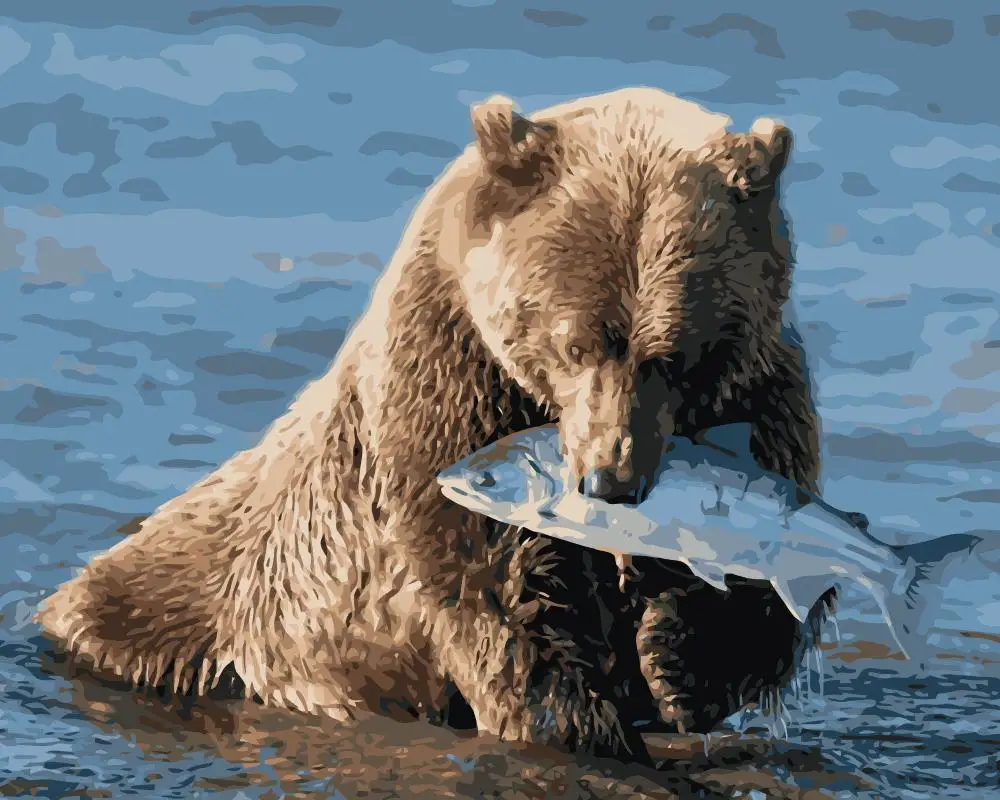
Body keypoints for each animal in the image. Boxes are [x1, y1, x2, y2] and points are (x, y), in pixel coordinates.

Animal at [36, 86, 825, 763]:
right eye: (575, 342)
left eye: (675, 354)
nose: (611, 478)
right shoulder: (453, 387)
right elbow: (502, 589)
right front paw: (575, 721)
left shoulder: (759, 397)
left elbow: (772, 584)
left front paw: (675, 653)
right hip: (205, 601)